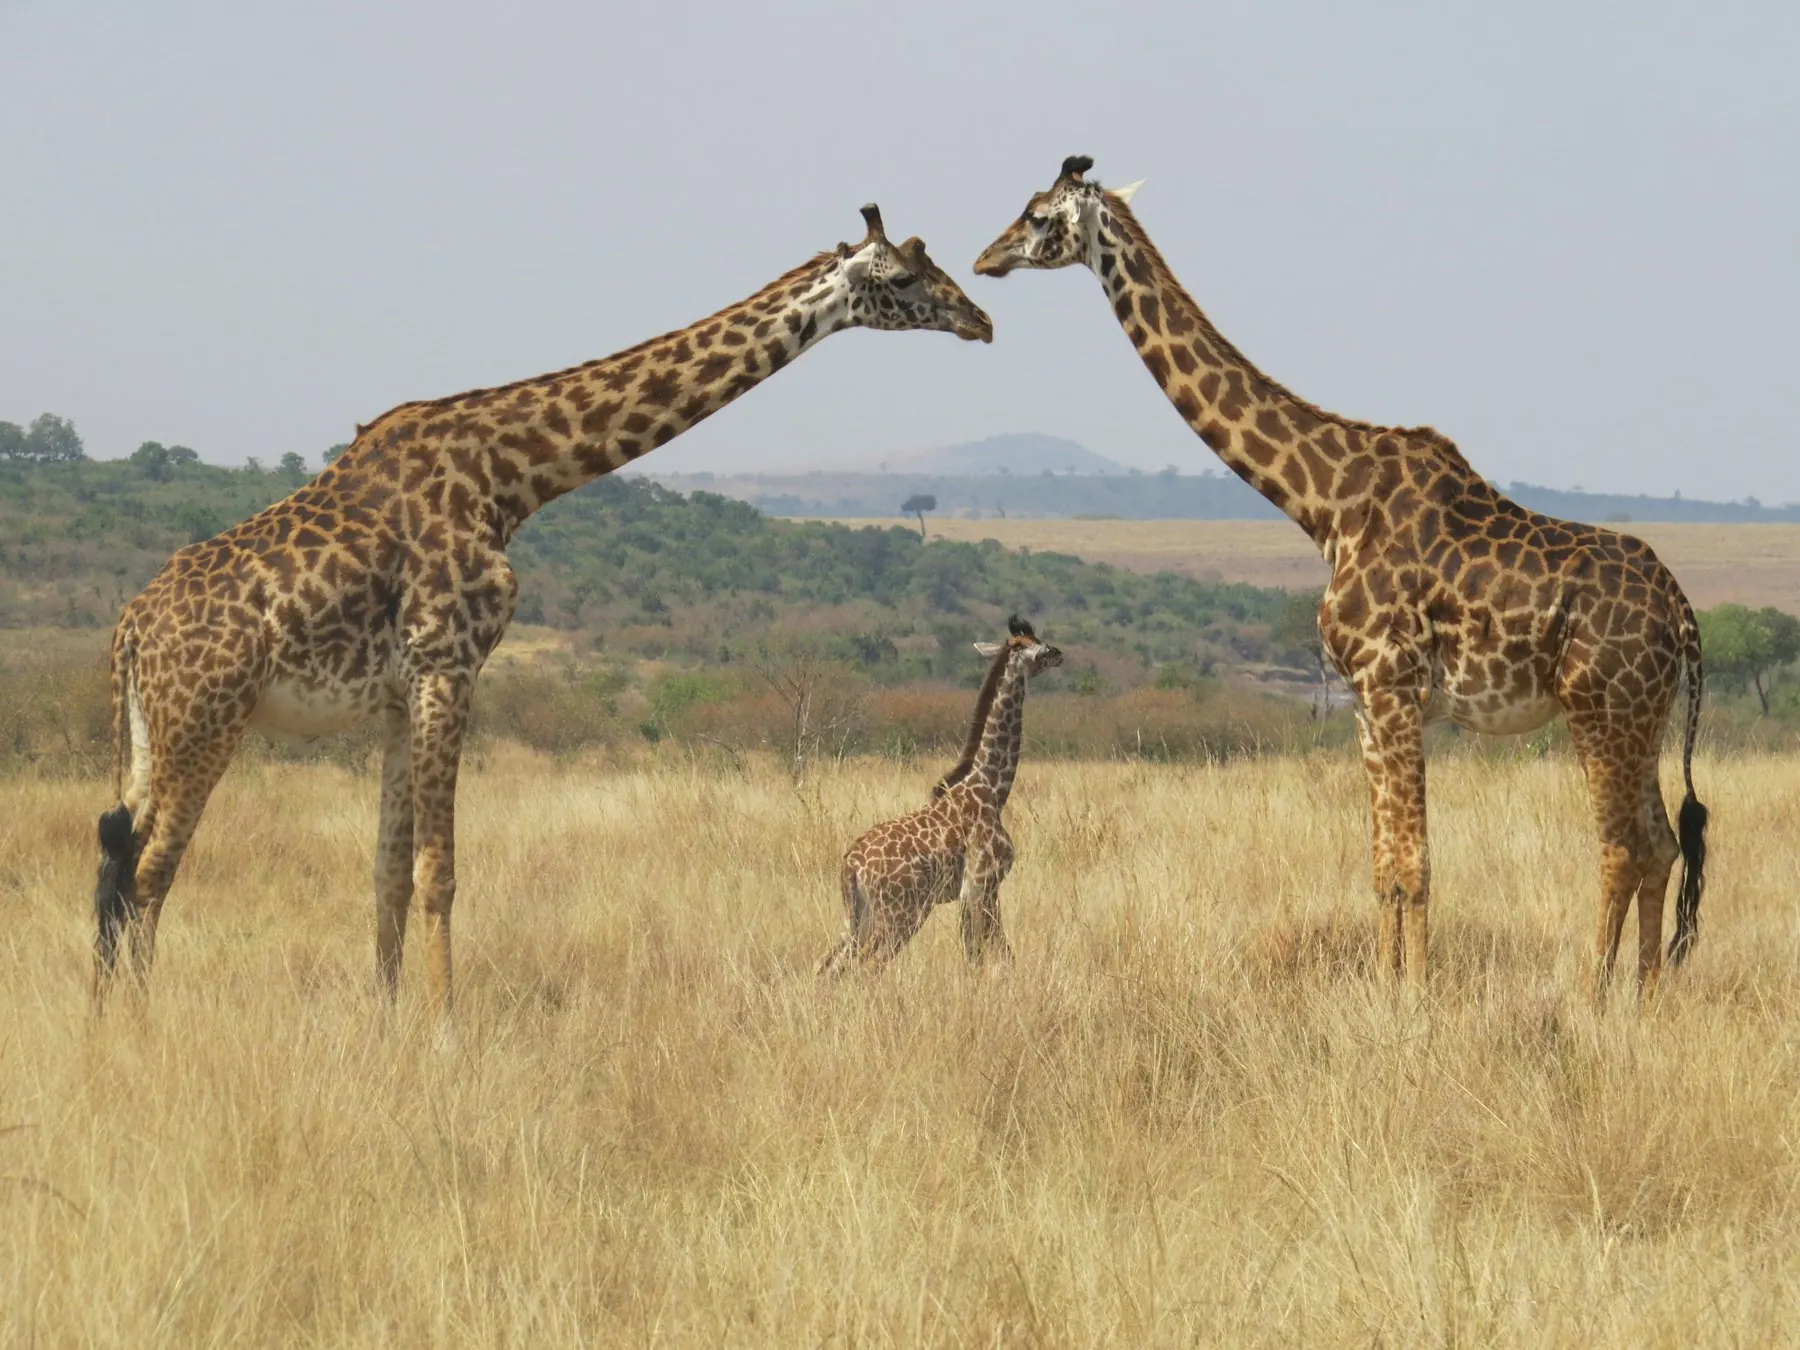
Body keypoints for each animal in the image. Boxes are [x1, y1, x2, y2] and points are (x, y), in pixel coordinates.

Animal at [91, 205, 994, 1011]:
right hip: (207, 721)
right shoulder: (449, 665)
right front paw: (444, 1032)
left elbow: (386, 872)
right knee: (151, 870)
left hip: (149, 733)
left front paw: (386, 1023)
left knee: (115, 855)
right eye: (905, 278)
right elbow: (439, 872)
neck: (510, 474)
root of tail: (131, 632)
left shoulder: (399, 695)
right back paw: (141, 1022)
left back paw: (105, 1017)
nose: (979, 317)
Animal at [819, 617, 1062, 975]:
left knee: (827, 966)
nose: (1059, 653)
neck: (992, 788)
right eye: (1038, 646)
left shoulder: (974, 892)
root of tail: (850, 865)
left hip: (857, 917)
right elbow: (991, 952)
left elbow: (980, 951)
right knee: (867, 966)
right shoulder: (982, 884)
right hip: (901, 913)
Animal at [973, 157, 1708, 996]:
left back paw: (1591, 996)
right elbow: (1384, 866)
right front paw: (1388, 990)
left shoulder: (1393, 685)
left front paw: (1417, 998)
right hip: (1645, 714)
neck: (1326, 505)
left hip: (1600, 708)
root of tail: (1683, 613)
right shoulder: (1364, 698)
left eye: (1037, 215)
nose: (985, 259)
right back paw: (1644, 995)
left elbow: (1416, 865)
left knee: (1622, 847)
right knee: (1663, 844)